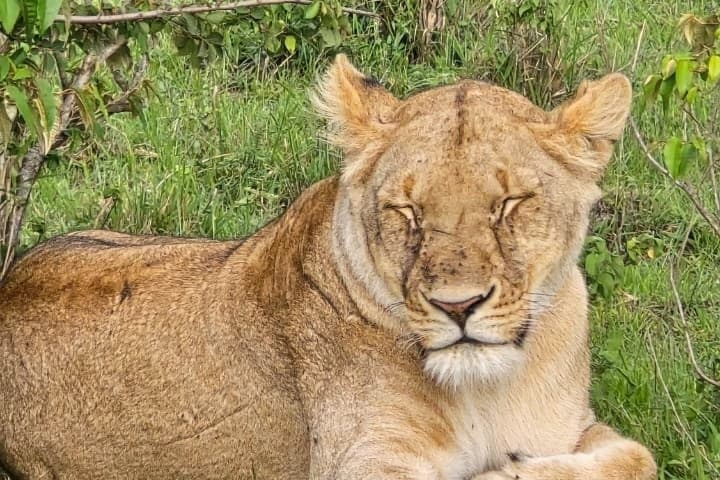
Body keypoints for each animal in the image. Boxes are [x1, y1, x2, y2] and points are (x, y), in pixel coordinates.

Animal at [0, 55, 656, 479]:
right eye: (406, 211)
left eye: (510, 203)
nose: (458, 307)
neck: (489, 387)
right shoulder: (361, 464)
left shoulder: (571, 427)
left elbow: (637, 457)